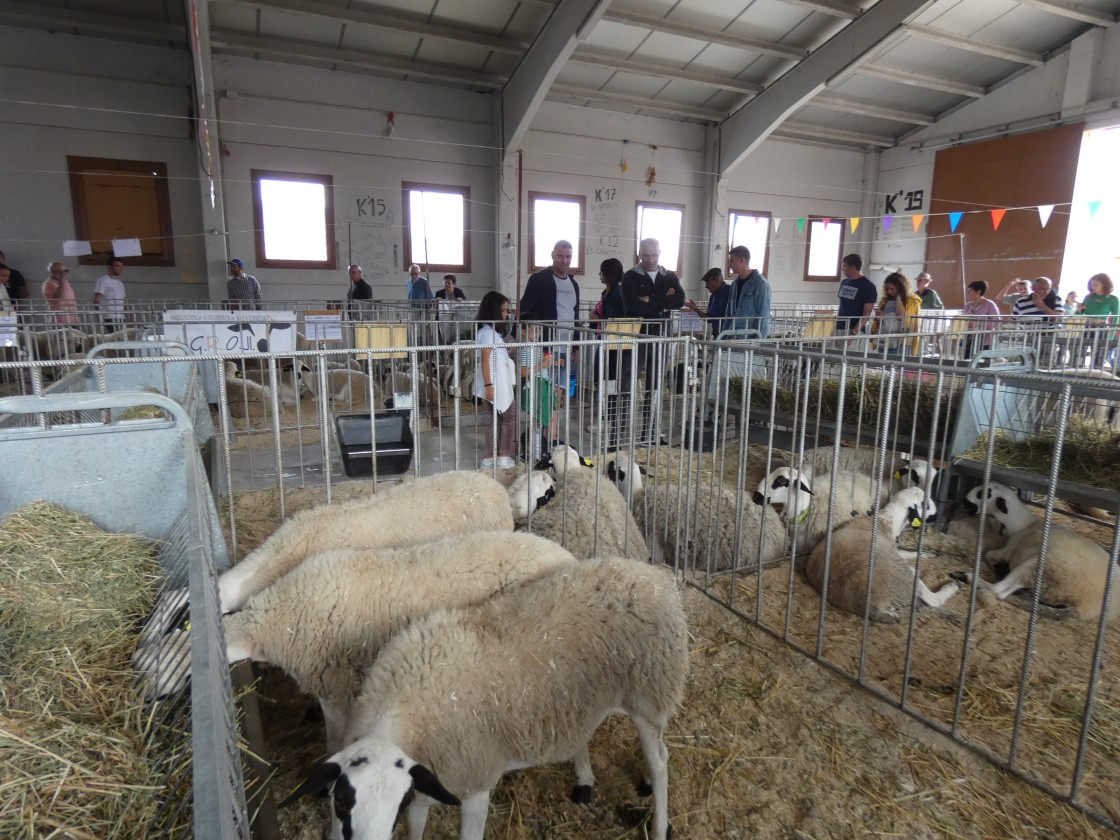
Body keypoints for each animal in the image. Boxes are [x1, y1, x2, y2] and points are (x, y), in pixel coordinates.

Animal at [280, 560, 685, 840]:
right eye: (340, 801)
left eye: (395, 805)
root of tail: (650, 572)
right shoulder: (427, 783)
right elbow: (417, 830)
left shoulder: (474, 784)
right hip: (579, 699)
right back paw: (585, 781)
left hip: (650, 694)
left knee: (661, 761)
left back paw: (660, 824)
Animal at [806, 486, 963, 627]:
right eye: (926, 504)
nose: (937, 514)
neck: (886, 521)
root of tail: (874, 607)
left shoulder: (893, 548)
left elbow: (906, 552)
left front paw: (928, 553)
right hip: (906, 576)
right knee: (932, 599)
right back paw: (952, 586)